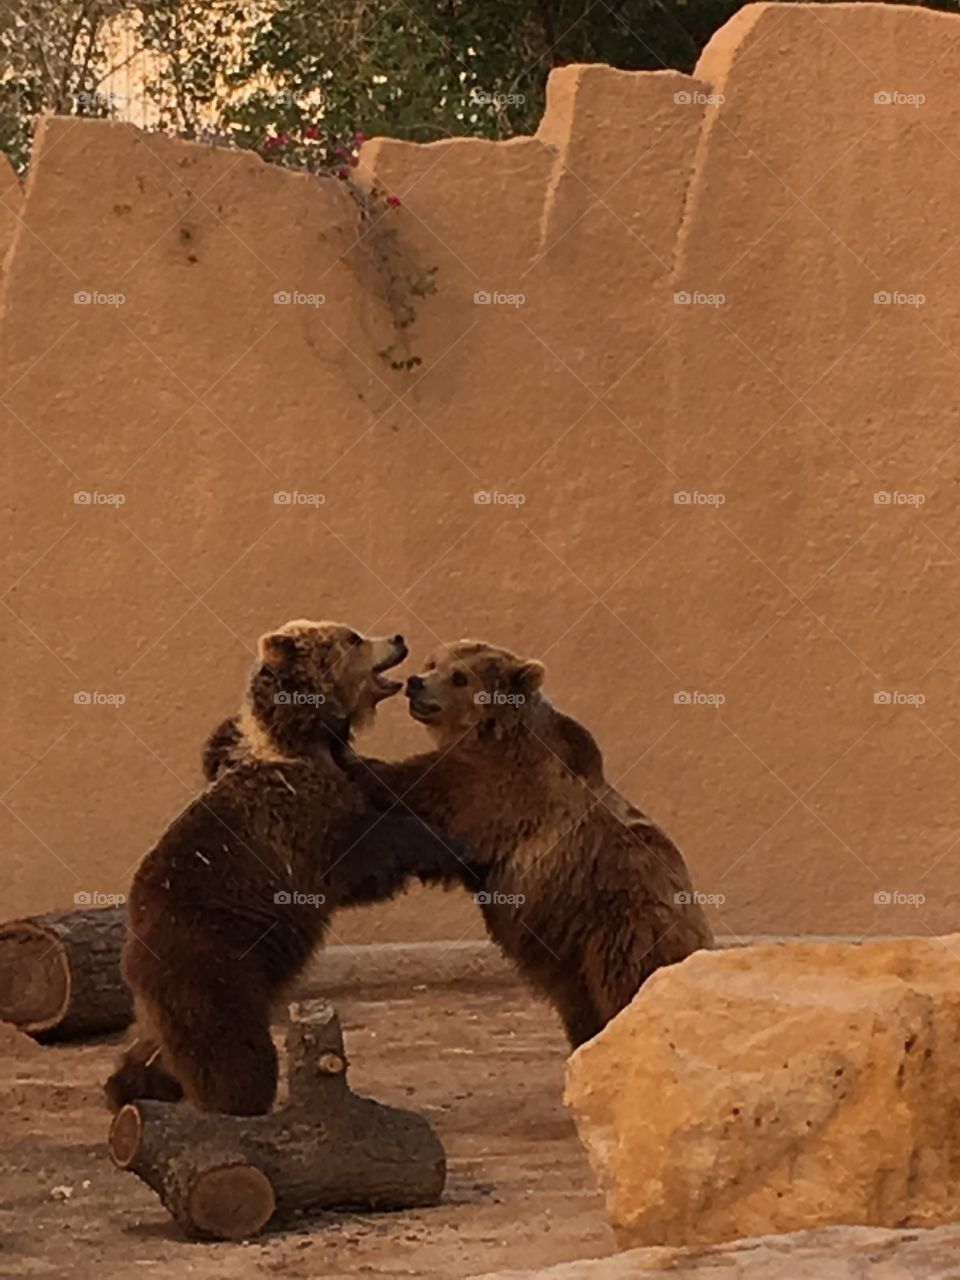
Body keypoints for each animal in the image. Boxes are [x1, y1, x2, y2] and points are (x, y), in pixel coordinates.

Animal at [105, 620, 479, 1116]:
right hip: (213, 962)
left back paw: (129, 1086)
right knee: (230, 1047)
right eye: (353, 638)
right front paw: (449, 845)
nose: (398, 639)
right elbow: (364, 852)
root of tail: (132, 950)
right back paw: (236, 1103)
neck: (304, 738)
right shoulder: (298, 819)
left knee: (155, 1042)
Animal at [207, 639, 715, 1049]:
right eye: (434, 662)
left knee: (626, 986)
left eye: (459, 676)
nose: (416, 684)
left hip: (620, 930)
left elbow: (415, 790)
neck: (489, 732)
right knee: (580, 1006)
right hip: (574, 956)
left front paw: (347, 757)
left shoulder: (493, 789)